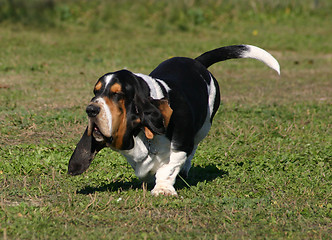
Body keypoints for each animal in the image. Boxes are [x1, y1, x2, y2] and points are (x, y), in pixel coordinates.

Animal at [68, 45, 280, 197]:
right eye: (96, 92)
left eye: (117, 94)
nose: (90, 109)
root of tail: (197, 62)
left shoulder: (180, 145)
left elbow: (168, 168)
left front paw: (163, 189)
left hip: (204, 126)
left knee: (193, 148)